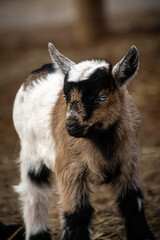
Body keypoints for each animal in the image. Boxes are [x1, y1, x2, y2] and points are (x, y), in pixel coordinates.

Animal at [13, 43, 154, 240]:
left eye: (102, 97)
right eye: (65, 97)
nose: (71, 124)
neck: (101, 144)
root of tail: (40, 69)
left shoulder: (128, 162)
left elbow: (132, 204)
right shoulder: (70, 168)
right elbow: (76, 213)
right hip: (29, 148)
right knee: (33, 191)